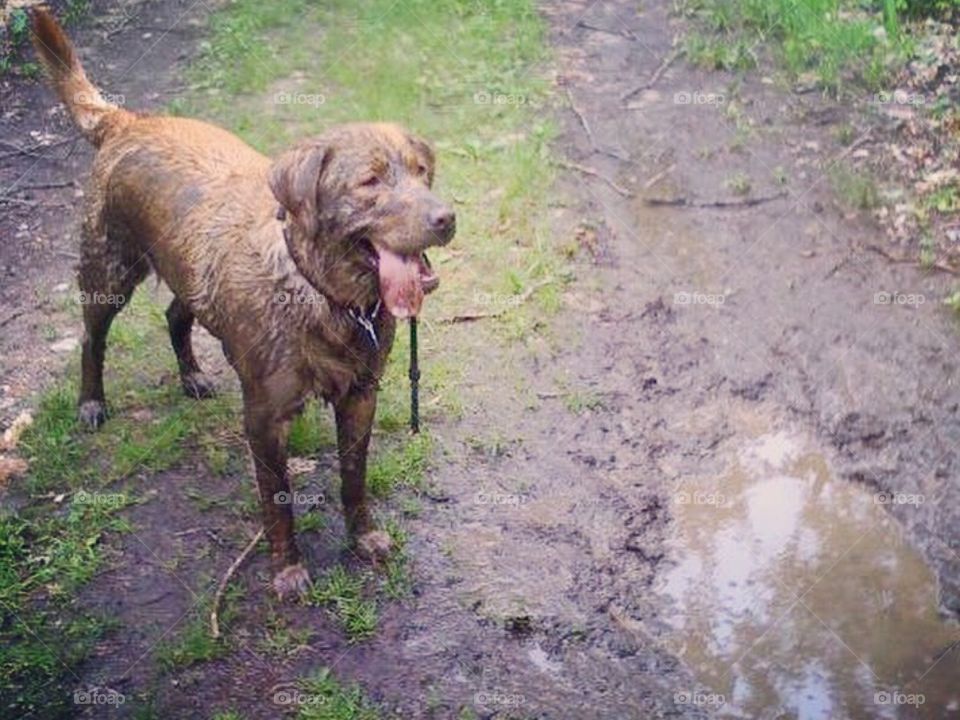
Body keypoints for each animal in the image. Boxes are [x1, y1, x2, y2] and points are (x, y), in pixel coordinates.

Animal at [34, 9, 458, 596]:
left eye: (422, 172)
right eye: (370, 181)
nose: (447, 218)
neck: (323, 294)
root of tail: (127, 120)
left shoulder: (361, 394)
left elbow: (354, 478)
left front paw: (362, 536)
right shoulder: (263, 414)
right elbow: (277, 501)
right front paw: (287, 569)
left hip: (186, 271)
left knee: (175, 315)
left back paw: (191, 375)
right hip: (108, 270)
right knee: (91, 339)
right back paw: (91, 402)